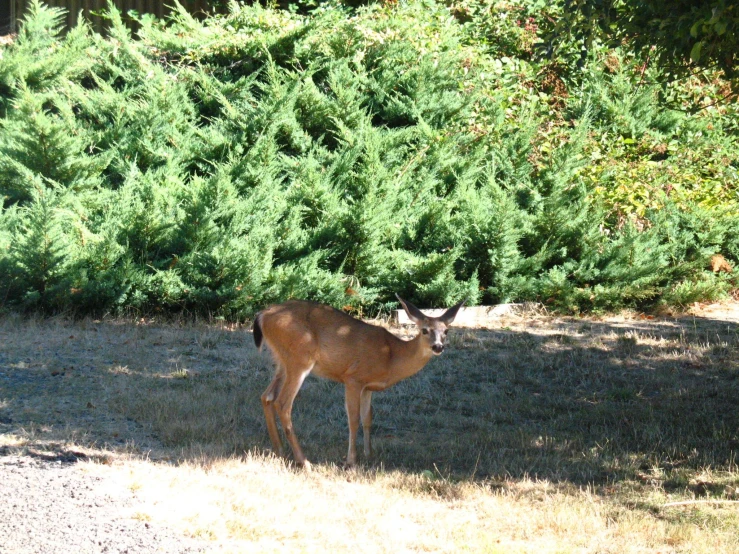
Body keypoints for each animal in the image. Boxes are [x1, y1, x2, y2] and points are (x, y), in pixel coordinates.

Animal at [251, 294, 466, 466]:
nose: (438, 347)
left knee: (266, 396)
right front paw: (351, 460)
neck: (391, 357)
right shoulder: (353, 378)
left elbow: (368, 418)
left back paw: (280, 450)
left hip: (282, 361)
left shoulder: (368, 387)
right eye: (424, 330)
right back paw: (304, 461)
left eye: (446, 331)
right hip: (300, 357)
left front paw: (369, 454)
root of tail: (262, 315)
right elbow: (353, 419)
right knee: (283, 403)